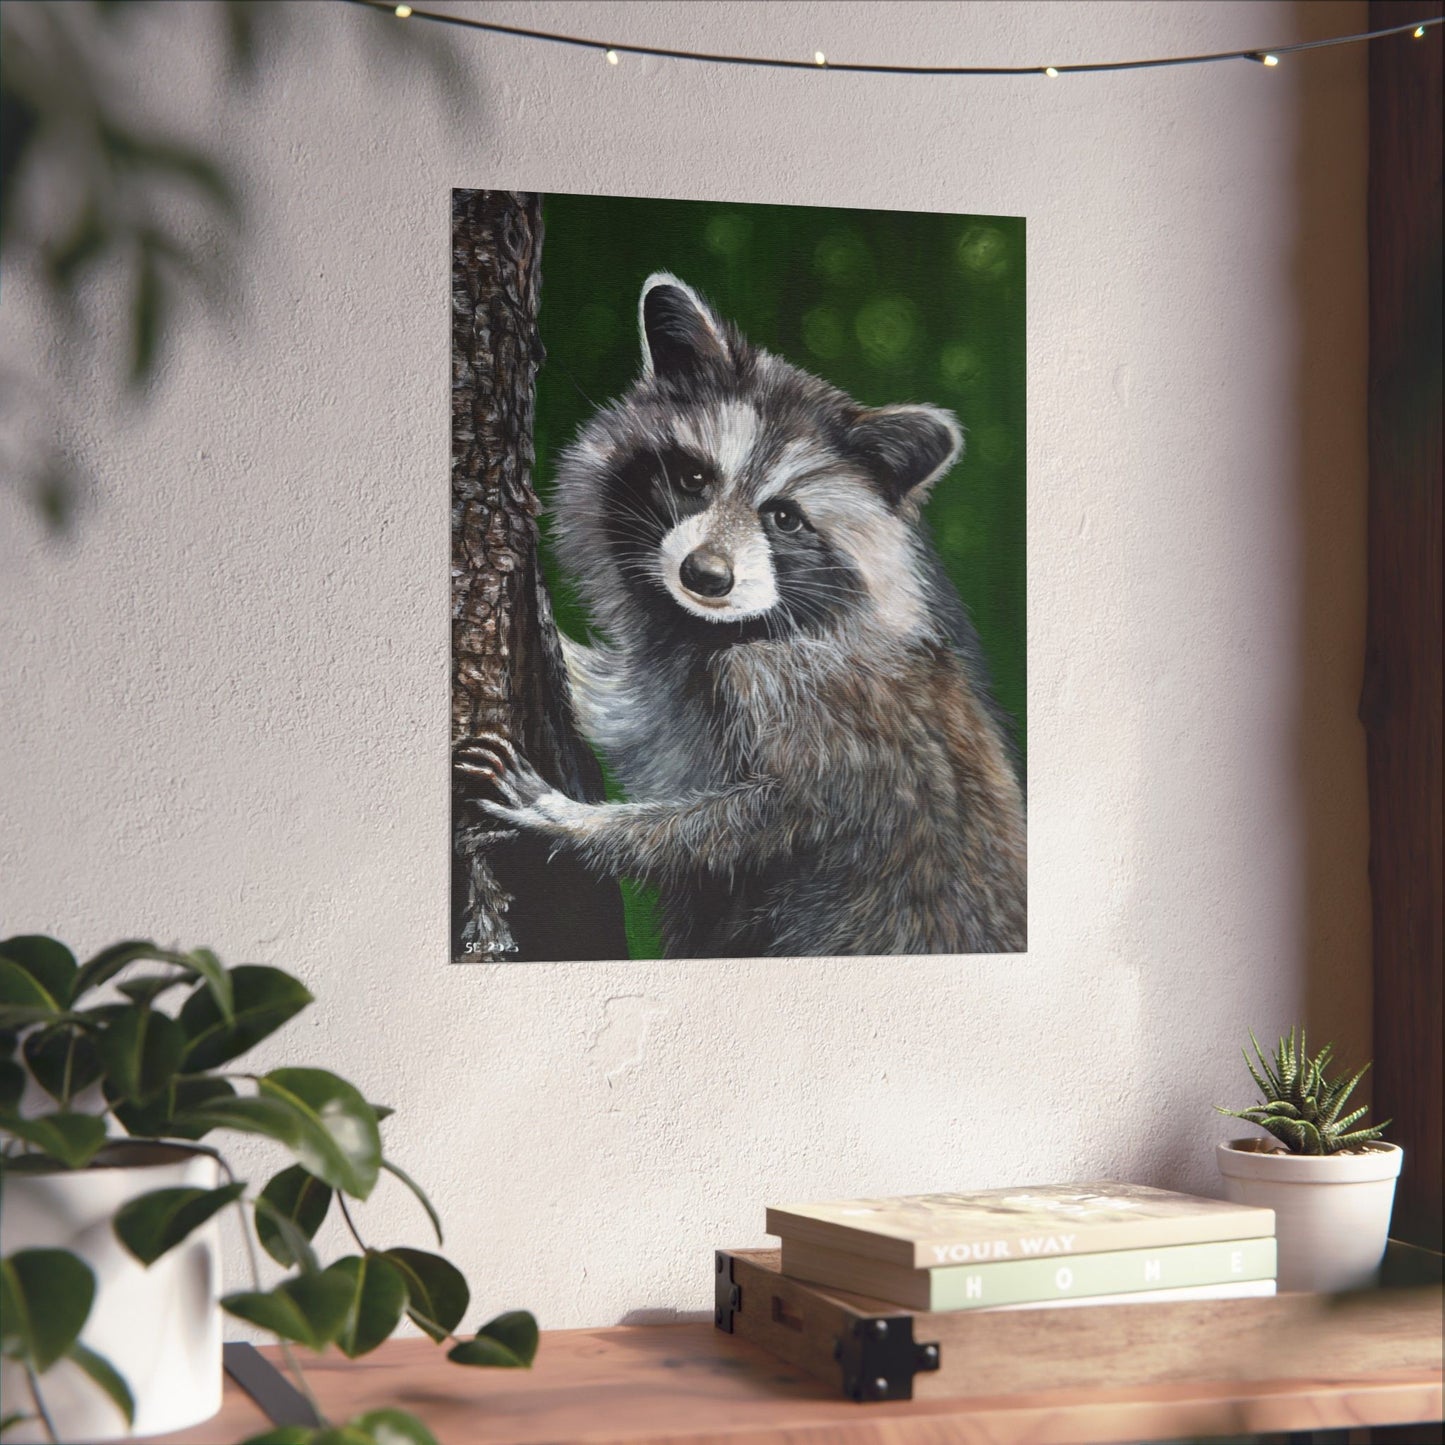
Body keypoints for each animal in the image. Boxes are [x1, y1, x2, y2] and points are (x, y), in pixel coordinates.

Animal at [459, 273, 1026, 956]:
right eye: (693, 478)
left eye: (784, 517)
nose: (705, 576)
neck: (717, 628)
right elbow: (624, 711)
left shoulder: (808, 694)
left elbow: (768, 818)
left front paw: (573, 822)